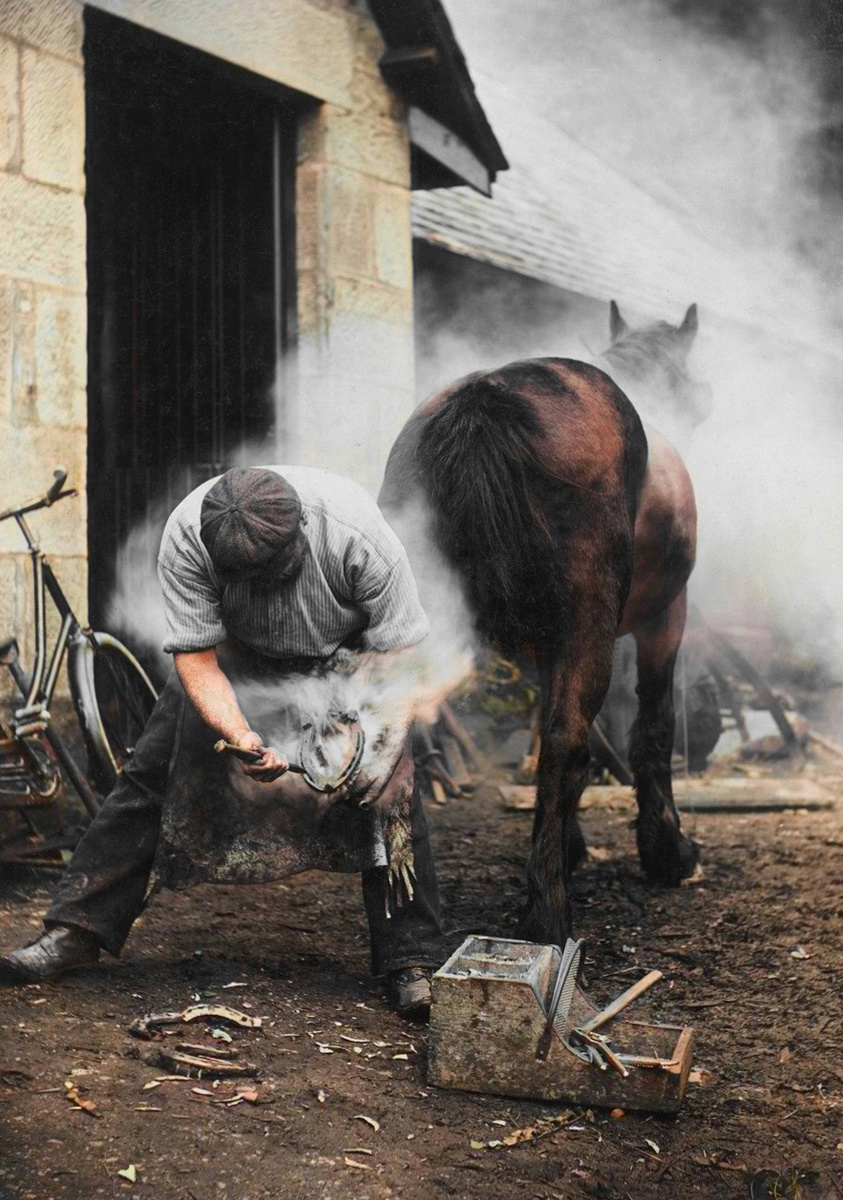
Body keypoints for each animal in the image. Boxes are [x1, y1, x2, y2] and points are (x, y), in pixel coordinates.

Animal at [379, 300, 701, 945]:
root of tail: (487, 398)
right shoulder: (662, 617)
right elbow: (650, 725)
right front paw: (668, 851)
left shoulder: (545, 646)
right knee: (566, 741)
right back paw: (548, 913)